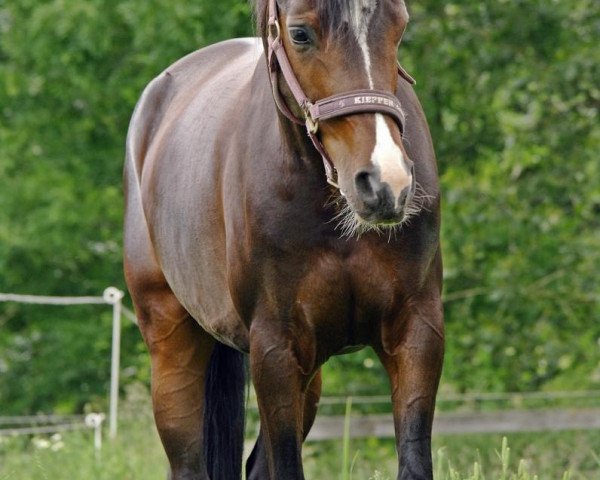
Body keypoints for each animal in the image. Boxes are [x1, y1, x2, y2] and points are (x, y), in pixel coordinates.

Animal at [124, 0, 442, 480]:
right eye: (300, 34)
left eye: (399, 25)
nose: (386, 182)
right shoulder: (274, 349)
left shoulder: (417, 332)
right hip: (170, 342)